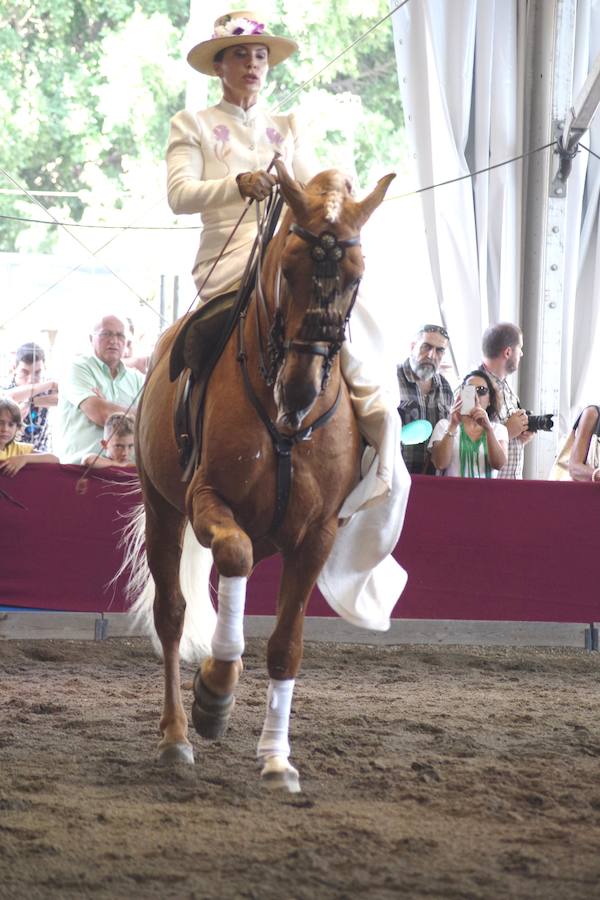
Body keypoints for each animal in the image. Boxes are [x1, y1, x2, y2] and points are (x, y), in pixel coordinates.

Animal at [132, 162, 394, 796]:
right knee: (173, 614)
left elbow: (285, 648)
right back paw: (176, 735)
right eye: (290, 266)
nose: (300, 388)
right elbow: (235, 558)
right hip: (163, 509)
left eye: (356, 274)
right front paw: (214, 692)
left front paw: (277, 759)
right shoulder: (208, 501)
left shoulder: (318, 535)